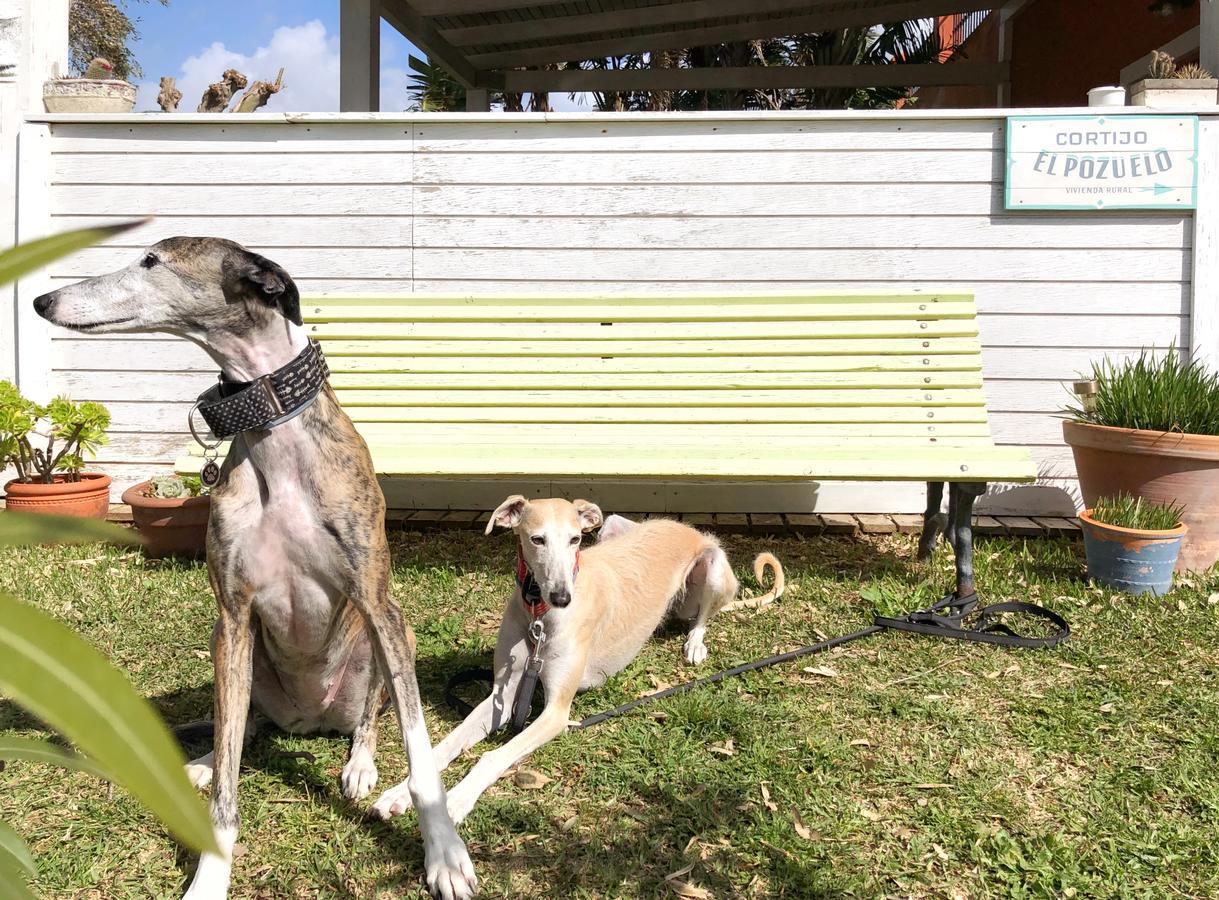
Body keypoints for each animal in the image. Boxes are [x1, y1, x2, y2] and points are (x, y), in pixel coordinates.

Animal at [368, 495, 780, 824]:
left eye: (575, 540)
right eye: (537, 539)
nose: (562, 597)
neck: (538, 616)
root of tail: (684, 526)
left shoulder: (556, 713)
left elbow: (493, 756)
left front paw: (456, 800)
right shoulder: (502, 695)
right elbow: (448, 744)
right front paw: (399, 794)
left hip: (713, 566)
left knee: (704, 617)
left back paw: (695, 643)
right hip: (614, 525)